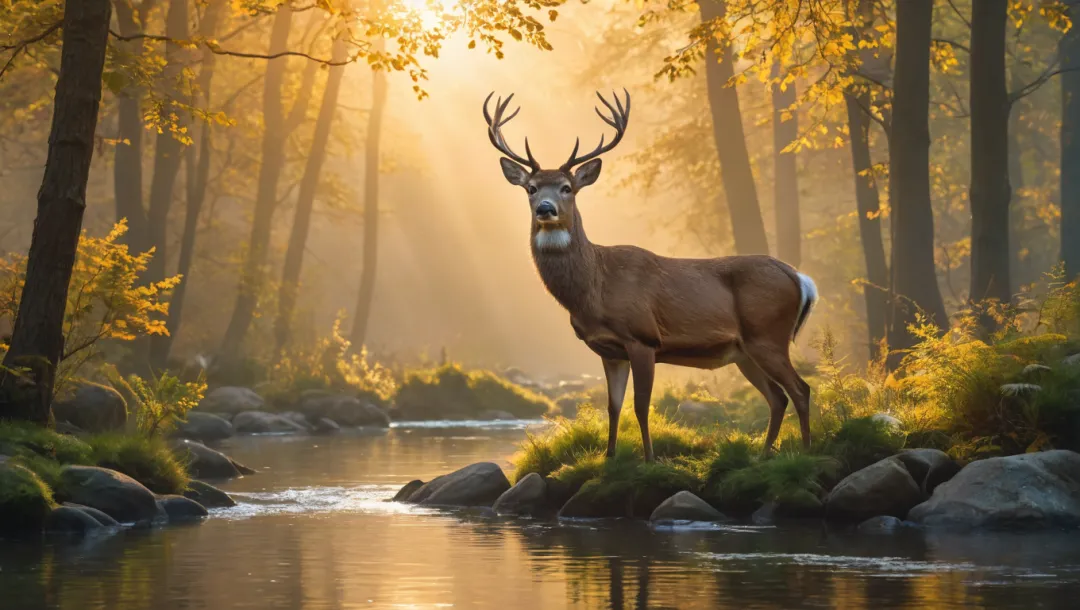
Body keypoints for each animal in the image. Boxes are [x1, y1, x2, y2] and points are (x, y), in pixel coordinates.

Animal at [481, 91, 816, 462]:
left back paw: (807, 451)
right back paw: (763, 455)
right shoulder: (608, 350)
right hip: (744, 350)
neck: (595, 289)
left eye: (567, 188)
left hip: (768, 334)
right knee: (778, 397)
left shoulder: (642, 337)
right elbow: (613, 407)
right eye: (531, 188)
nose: (545, 208)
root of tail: (799, 277)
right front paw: (610, 457)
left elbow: (641, 406)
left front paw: (650, 458)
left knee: (800, 389)